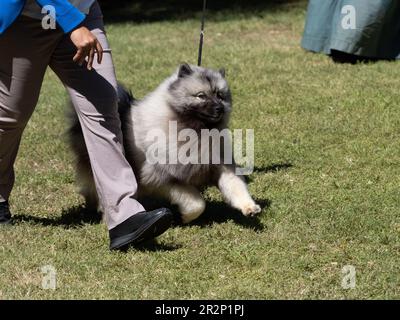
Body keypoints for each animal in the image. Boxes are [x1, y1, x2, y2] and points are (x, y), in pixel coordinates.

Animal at [68, 63, 262, 224]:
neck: (194, 130)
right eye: (201, 96)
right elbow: (197, 203)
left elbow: (236, 187)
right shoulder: (163, 178)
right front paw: (186, 217)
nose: (219, 108)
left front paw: (249, 207)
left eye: (220, 96)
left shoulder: (220, 166)